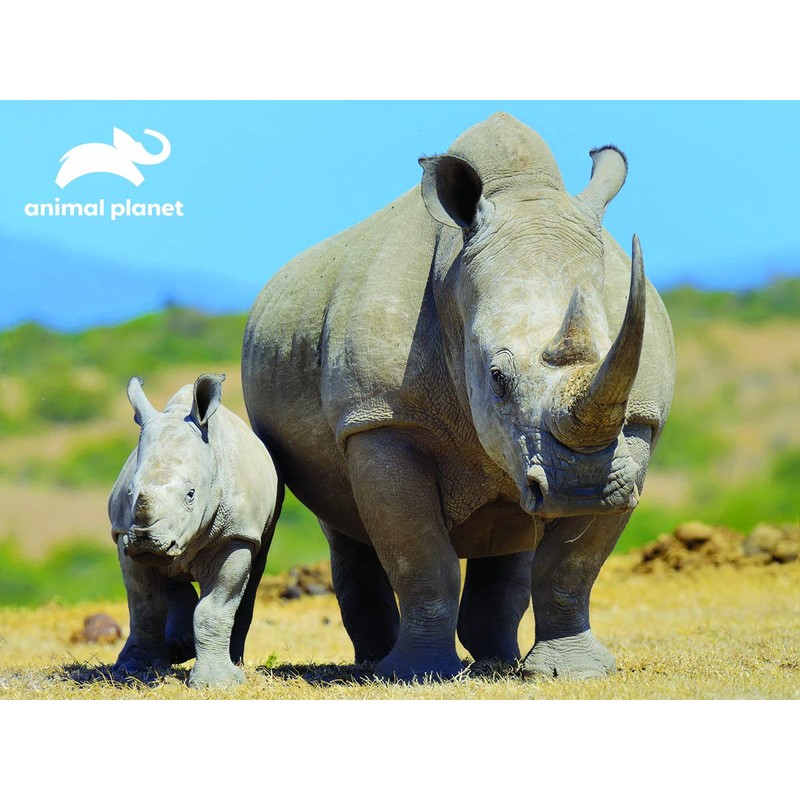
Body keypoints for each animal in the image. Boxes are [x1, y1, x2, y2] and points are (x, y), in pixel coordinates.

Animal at [109, 373, 281, 688]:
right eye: (129, 492)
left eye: (191, 494)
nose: (146, 540)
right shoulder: (122, 534)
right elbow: (144, 606)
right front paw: (136, 670)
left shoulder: (236, 534)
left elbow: (215, 607)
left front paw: (217, 683)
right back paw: (178, 648)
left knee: (252, 577)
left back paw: (233, 663)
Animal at [242, 112, 675, 681]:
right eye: (496, 378)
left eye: (619, 356)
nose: (580, 487)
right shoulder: (382, 418)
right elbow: (422, 558)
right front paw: (414, 675)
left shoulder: (637, 423)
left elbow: (571, 566)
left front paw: (573, 673)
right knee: (343, 522)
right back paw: (375, 664)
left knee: (514, 525)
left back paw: (499, 661)